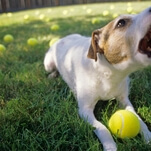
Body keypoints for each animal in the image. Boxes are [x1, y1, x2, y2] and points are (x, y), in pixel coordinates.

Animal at [43, 7, 151, 151]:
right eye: (121, 23)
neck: (108, 73)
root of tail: (63, 38)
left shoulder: (124, 100)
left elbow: (138, 119)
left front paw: (148, 136)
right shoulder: (85, 110)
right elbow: (102, 128)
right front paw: (110, 147)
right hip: (48, 63)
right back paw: (53, 75)